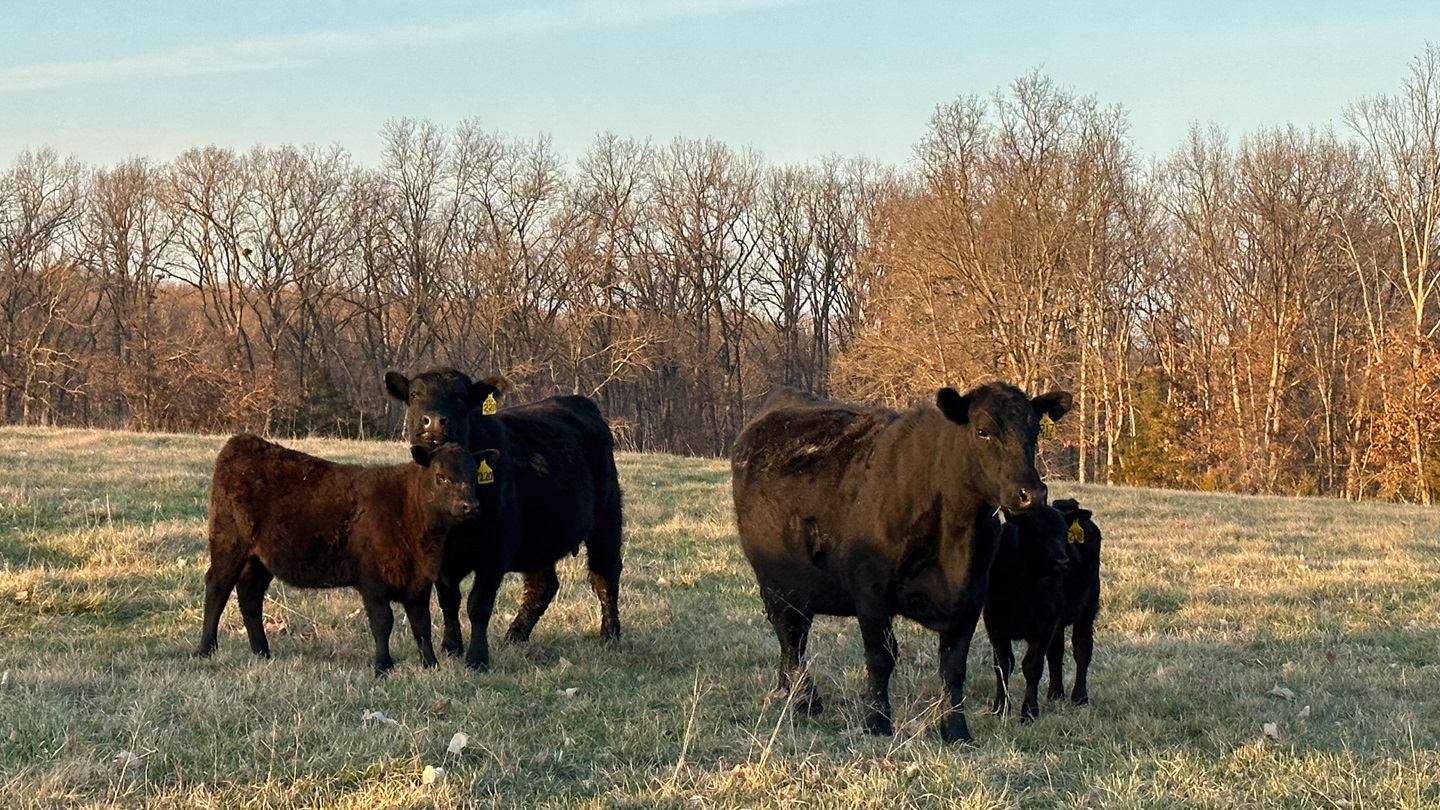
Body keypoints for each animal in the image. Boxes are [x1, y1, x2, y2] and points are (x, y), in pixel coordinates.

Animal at [195, 434, 483, 676]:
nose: (470, 506)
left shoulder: (419, 581)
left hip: (260, 558)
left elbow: (422, 625)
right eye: (441, 476)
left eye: (475, 477)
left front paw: (431, 664)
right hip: (228, 543)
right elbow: (383, 622)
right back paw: (205, 649)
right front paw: (383, 667)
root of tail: (243, 442)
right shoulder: (373, 581)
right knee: (217, 588)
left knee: (249, 594)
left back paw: (262, 652)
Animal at [384, 368, 624, 671]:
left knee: (605, 574)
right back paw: (515, 635)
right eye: (415, 394)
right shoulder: (438, 553)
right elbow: (449, 601)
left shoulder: (495, 549)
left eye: (460, 396)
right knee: (542, 585)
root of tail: (580, 402)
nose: (434, 420)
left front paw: (477, 659)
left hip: (607, 519)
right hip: (538, 538)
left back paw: (610, 634)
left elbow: (478, 604)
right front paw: (451, 648)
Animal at [731, 382, 1071, 743]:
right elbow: (881, 657)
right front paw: (877, 722)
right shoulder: (871, 593)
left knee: (795, 638)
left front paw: (955, 729)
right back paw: (804, 700)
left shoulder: (972, 597)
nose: (1031, 494)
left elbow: (954, 667)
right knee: (790, 637)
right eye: (982, 431)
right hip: (775, 582)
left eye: (1034, 431)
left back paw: (790, 692)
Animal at [985, 497, 1102, 720]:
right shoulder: (994, 623)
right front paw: (1000, 707)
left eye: (1063, 533)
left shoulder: (1045, 624)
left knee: (1082, 648)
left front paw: (1029, 711)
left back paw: (1079, 697)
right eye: (1034, 531)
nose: (1063, 562)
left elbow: (1032, 666)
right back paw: (1055, 694)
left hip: (1088, 608)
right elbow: (1002, 665)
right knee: (1056, 652)